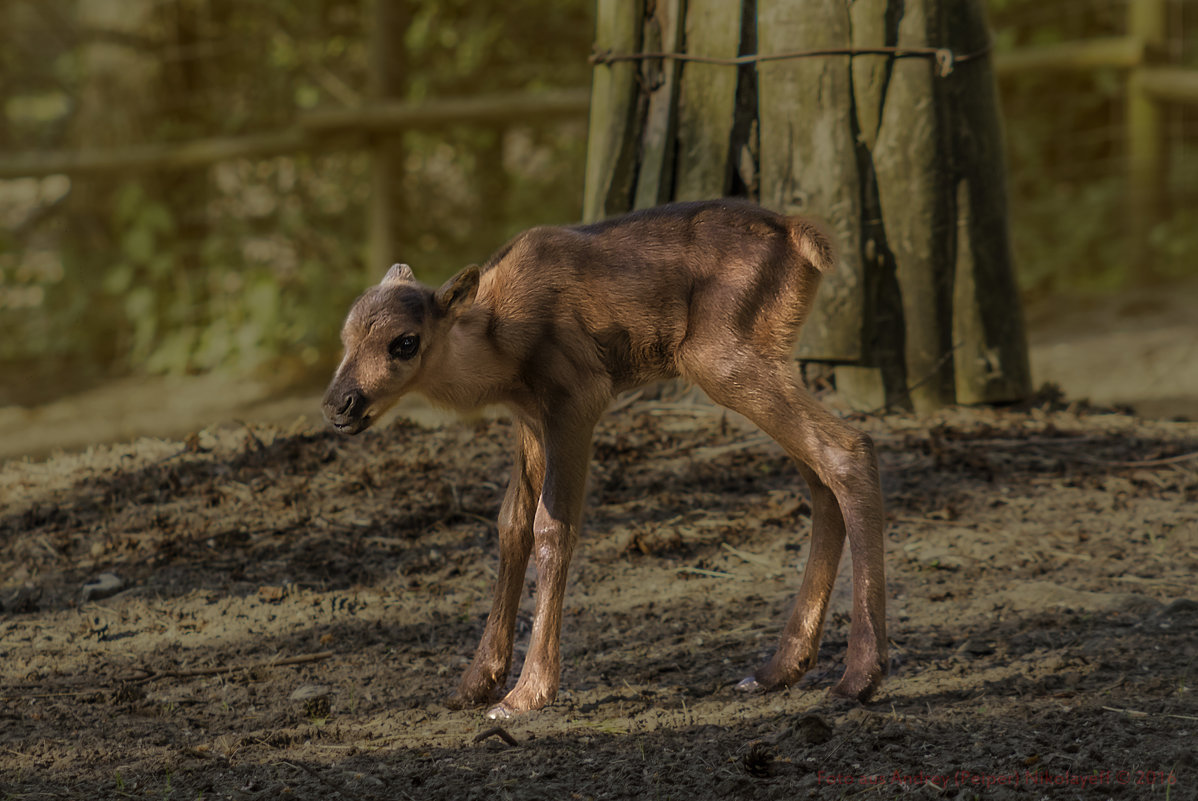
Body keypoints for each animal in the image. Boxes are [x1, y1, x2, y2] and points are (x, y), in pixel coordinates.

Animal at [323, 199, 886, 718]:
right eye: (346, 334)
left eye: (405, 342)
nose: (338, 404)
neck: (500, 352)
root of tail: (802, 237)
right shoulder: (529, 418)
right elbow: (511, 524)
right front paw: (475, 683)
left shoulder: (578, 396)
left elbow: (552, 527)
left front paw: (527, 693)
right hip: (768, 359)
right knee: (820, 476)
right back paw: (778, 670)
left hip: (722, 359)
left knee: (848, 450)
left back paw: (858, 677)